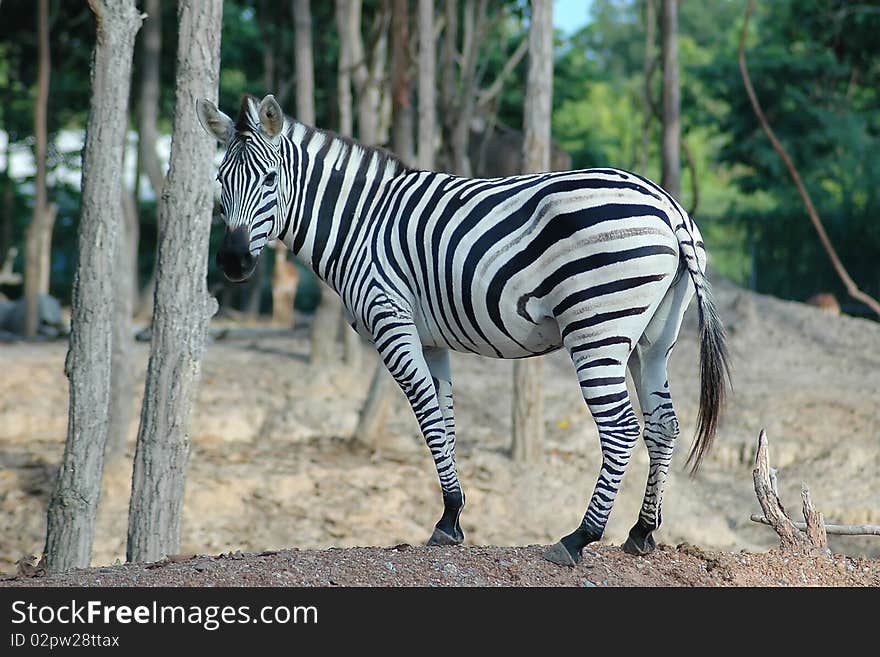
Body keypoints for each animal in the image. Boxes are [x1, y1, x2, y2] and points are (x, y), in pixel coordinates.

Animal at [198, 95, 728, 568]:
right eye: (220, 182)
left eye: (270, 179)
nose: (233, 261)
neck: (362, 223)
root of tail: (669, 207)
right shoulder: (431, 339)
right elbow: (446, 420)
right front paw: (453, 516)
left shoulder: (390, 319)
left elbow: (428, 417)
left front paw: (448, 519)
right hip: (652, 341)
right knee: (663, 424)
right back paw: (642, 533)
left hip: (596, 330)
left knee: (620, 427)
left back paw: (578, 538)